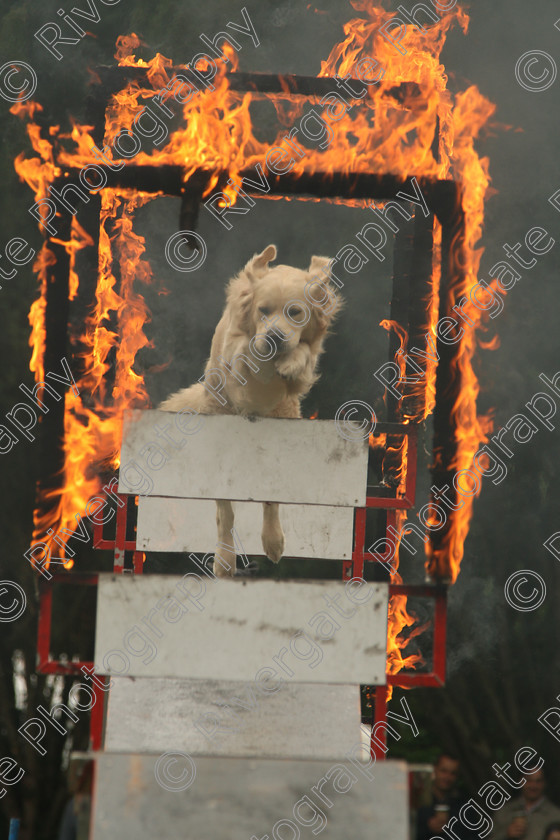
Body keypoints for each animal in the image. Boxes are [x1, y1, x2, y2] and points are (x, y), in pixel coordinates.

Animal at [159, 243, 342, 576]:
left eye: (295, 312)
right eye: (263, 311)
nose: (274, 337)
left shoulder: (303, 363)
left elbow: (303, 352)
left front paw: (290, 361)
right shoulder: (236, 360)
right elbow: (246, 351)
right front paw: (261, 354)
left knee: (270, 500)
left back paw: (273, 542)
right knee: (225, 514)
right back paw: (225, 560)